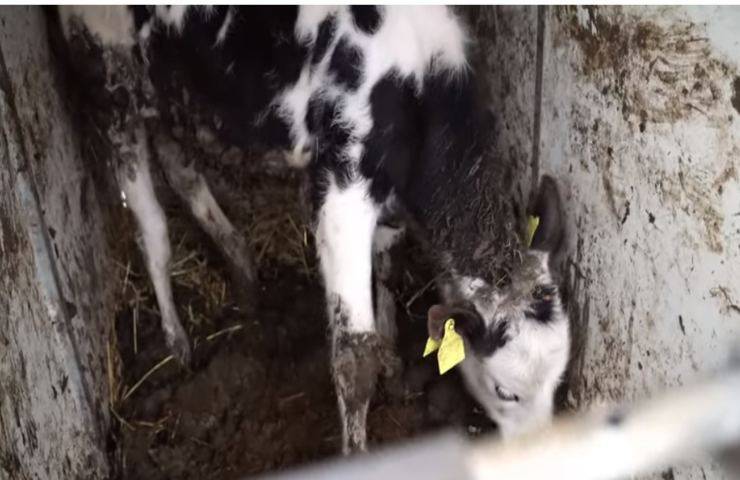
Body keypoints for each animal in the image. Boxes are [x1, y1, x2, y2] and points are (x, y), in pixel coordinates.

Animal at [60, 5, 572, 452]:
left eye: (560, 381)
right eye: (505, 391)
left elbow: (386, 267)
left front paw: (392, 356)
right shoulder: (341, 192)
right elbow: (353, 356)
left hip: (175, 95)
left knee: (181, 169)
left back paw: (243, 269)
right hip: (110, 79)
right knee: (151, 226)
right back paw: (176, 339)